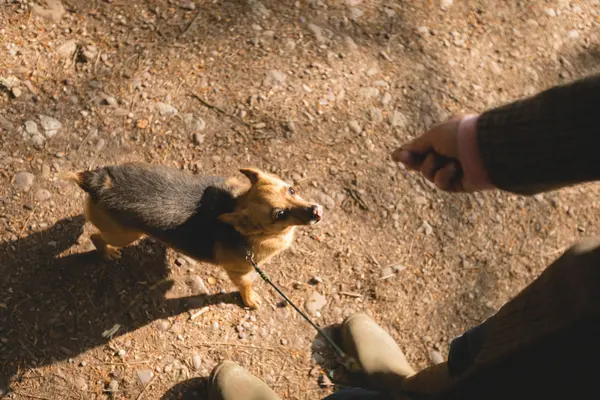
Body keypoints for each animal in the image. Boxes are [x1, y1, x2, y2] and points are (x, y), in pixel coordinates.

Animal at [64, 162, 324, 310]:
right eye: (279, 214)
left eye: (292, 190)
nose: (317, 212)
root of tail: (99, 183)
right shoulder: (238, 273)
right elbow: (246, 286)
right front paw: (250, 300)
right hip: (125, 235)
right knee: (96, 238)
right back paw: (107, 253)